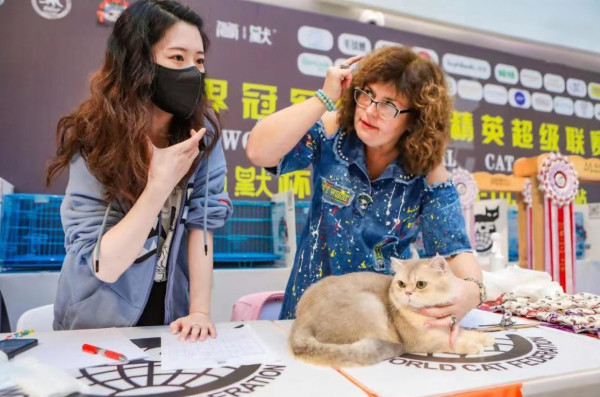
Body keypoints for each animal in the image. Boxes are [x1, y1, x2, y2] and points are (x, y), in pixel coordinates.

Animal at [290, 255, 492, 366]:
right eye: (401, 284)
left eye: (421, 284)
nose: (408, 293)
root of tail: (301, 321)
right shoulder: (420, 342)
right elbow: (449, 343)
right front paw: (472, 345)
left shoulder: (448, 326)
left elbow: (462, 332)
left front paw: (482, 337)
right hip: (370, 306)